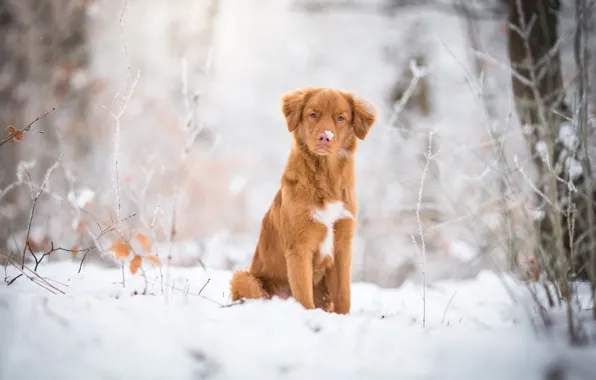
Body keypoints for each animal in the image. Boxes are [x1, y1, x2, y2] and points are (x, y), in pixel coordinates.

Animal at [229, 87, 378, 314]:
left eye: (341, 118)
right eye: (313, 114)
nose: (325, 137)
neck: (326, 178)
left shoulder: (343, 243)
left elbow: (344, 295)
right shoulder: (299, 246)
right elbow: (304, 295)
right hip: (244, 278)